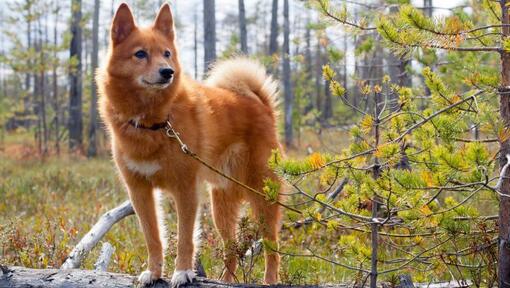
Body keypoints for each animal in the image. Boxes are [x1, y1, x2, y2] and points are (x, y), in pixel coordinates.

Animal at [96, 3, 282, 286]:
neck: (155, 122)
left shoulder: (185, 189)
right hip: (221, 205)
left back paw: (270, 279)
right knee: (231, 249)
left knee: (273, 246)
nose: (168, 72)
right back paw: (225, 280)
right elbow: (153, 237)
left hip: (261, 194)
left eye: (167, 53)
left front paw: (182, 272)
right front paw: (153, 272)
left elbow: (185, 238)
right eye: (140, 54)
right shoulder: (140, 191)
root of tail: (260, 104)